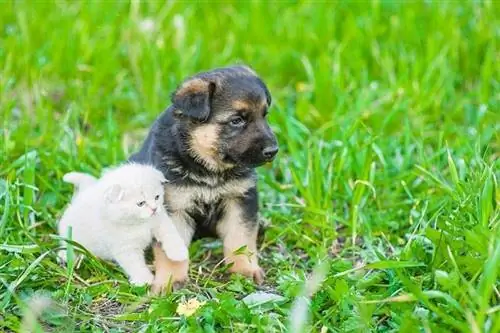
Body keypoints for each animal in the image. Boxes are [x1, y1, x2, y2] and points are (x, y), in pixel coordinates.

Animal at [58, 162, 188, 284]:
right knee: (67, 244)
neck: (138, 222)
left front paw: (179, 252)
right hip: (68, 232)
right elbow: (134, 264)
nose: (154, 209)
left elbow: (169, 233)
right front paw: (144, 280)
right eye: (141, 203)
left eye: (157, 197)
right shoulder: (125, 248)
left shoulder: (159, 220)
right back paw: (65, 256)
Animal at [129, 64, 278, 290]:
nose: (273, 151)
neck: (209, 168)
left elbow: (240, 239)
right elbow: (171, 251)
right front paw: (170, 279)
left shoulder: (240, 200)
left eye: (264, 115)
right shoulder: (173, 208)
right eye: (237, 120)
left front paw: (243, 269)